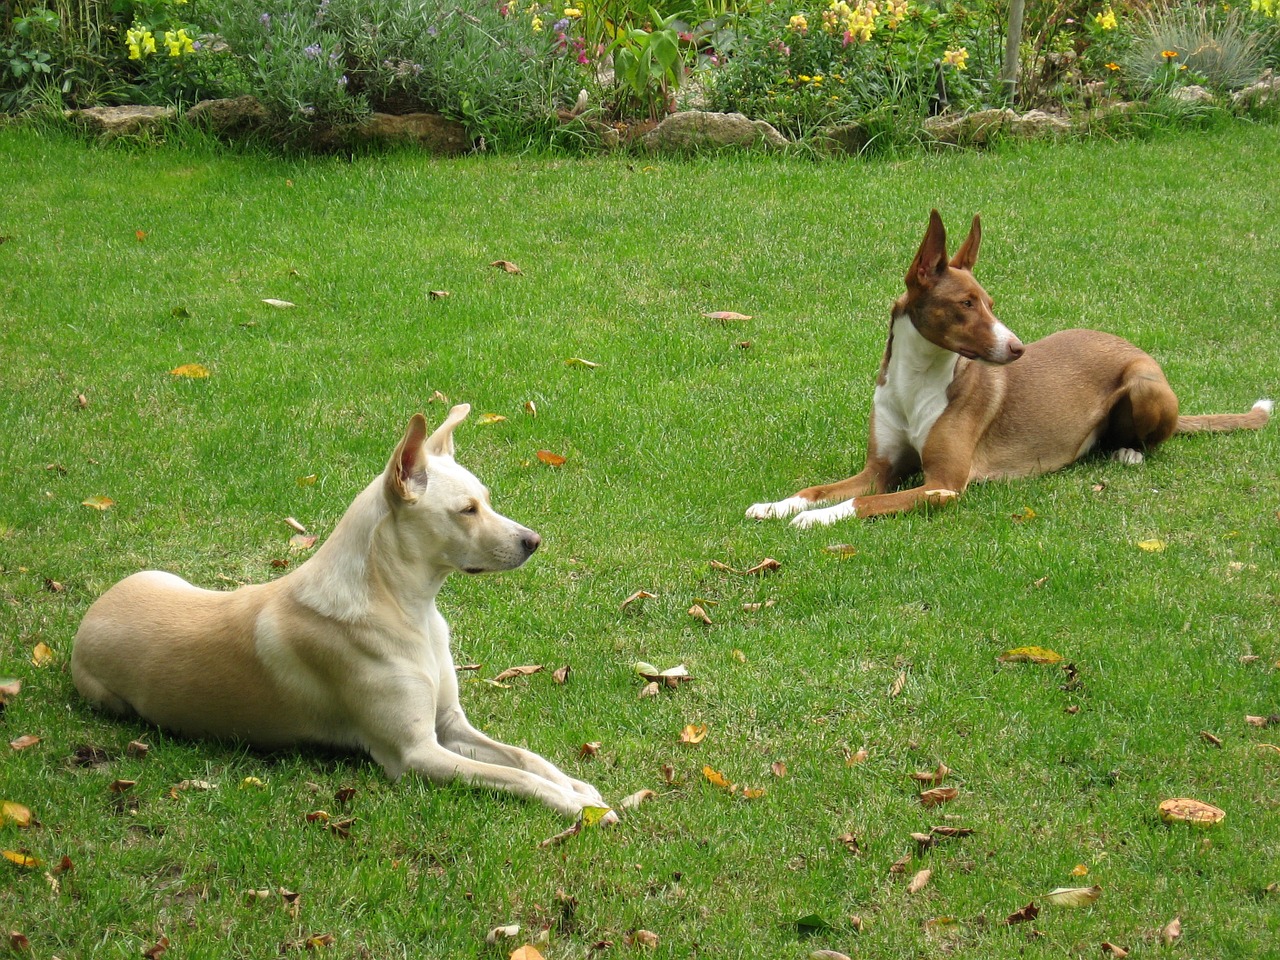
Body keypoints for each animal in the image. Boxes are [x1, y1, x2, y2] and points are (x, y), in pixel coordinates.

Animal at [74, 404, 614, 819]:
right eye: (466, 510)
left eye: (486, 500)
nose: (534, 541)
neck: (404, 604)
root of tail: (93, 611)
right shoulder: (416, 754)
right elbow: (512, 776)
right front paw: (576, 805)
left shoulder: (450, 724)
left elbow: (524, 757)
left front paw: (575, 785)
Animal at [747, 211, 1269, 529]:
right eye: (966, 304)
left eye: (991, 303)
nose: (1018, 349)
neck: (917, 382)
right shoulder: (880, 469)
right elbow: (820, 488)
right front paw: (778, 505)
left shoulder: (943, 486)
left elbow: (860, 502)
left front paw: (813, 520)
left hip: (1144, 385)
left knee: (1150, 438)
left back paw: (1128, 453)